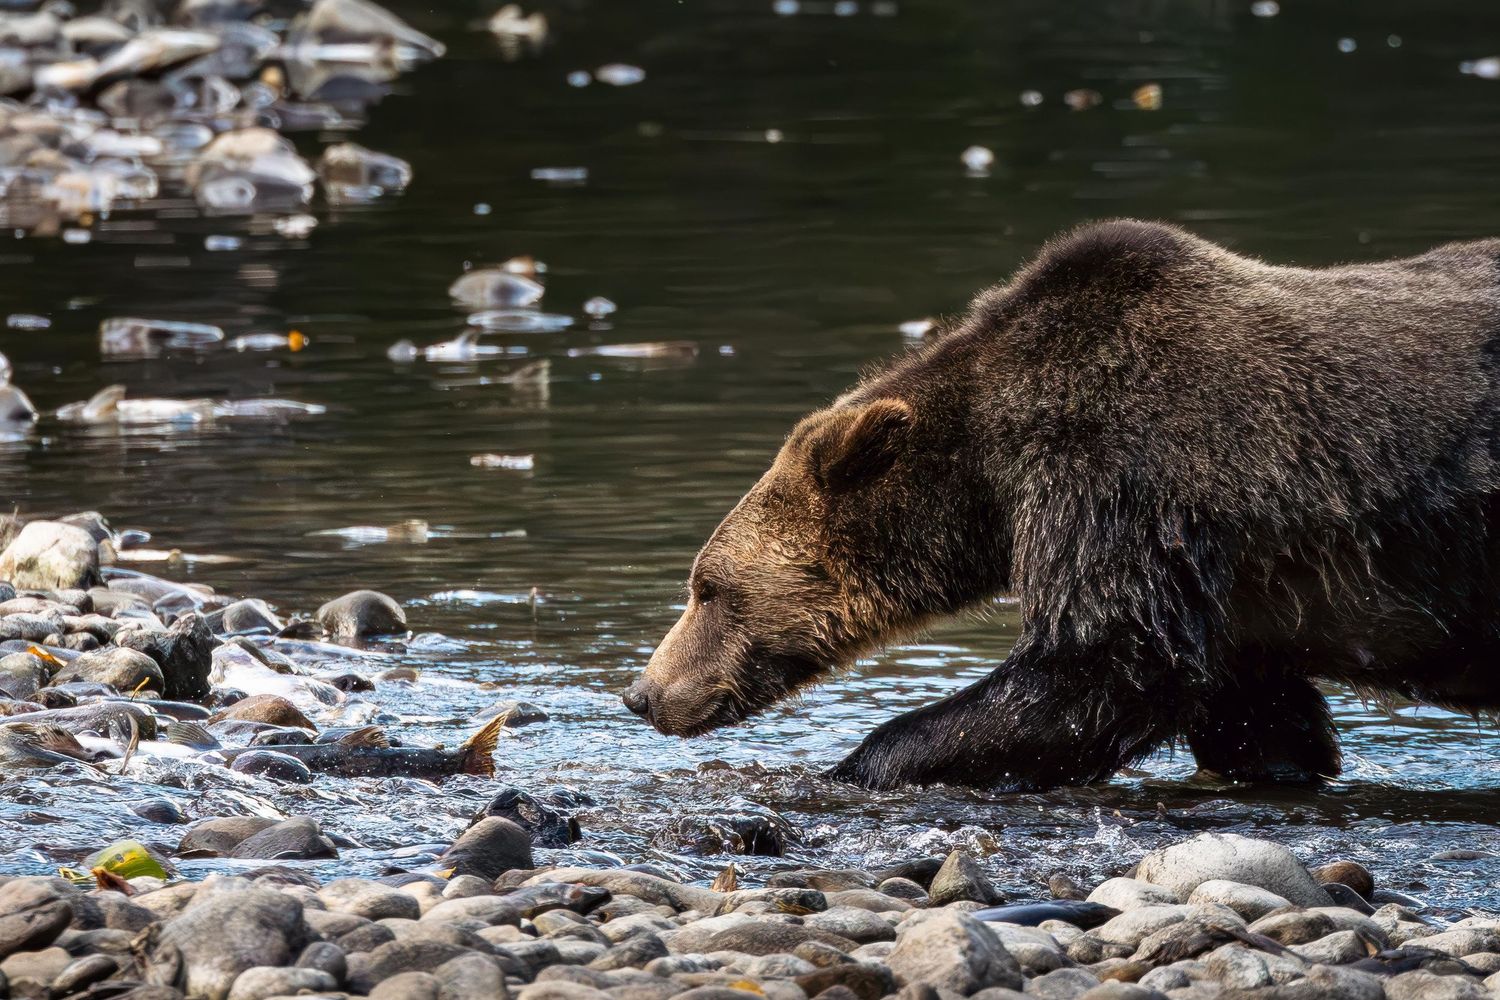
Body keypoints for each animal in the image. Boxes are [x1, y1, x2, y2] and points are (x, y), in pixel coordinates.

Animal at [622, 219, 1500, 792]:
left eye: (709, 588)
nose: (643, 694)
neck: (989, 474)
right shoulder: (1235, 599)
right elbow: (1255, 716)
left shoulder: (1123, 481)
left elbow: (1095, 668)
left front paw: (859, 765)